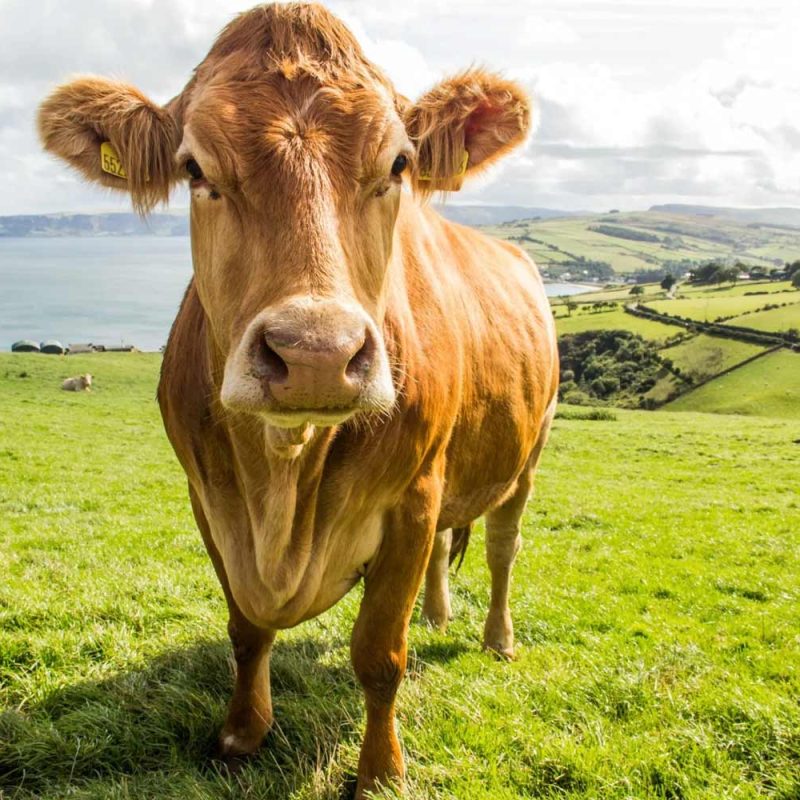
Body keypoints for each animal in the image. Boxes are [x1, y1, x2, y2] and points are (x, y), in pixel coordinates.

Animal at [37, 4, 558, 796]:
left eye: (398, 164)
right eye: (195, 168)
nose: (315, 355)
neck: (283, 484)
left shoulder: (412, 497)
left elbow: (379, 654)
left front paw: (381, 771)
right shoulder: (209, 499)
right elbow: (247, 628)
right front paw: (241, 732)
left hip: (529, 452)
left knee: (502, 545)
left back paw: (496, 639)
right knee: (451, 548)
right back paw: (438, 616)